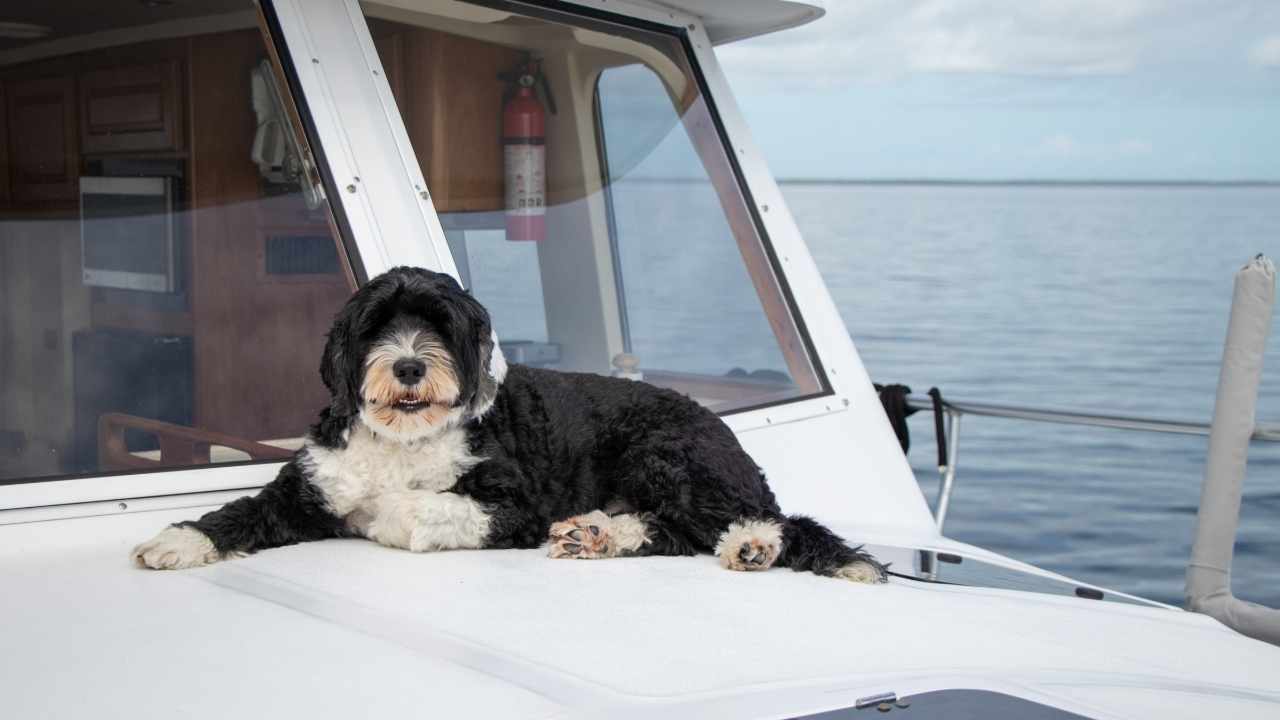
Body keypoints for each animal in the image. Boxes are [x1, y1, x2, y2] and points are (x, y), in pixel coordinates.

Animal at [132, 266, 890, 579]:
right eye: (376, 327)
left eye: (439, 325)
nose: (409, 366)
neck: (404, 439)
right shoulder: (309, 489)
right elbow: (241, 512)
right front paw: (176, 541)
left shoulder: (515, 504)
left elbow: (424, 509)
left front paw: (395, 514)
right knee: (672, 532)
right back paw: (598, 535)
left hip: (664, 453)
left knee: (760, 521)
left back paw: (753, 544)